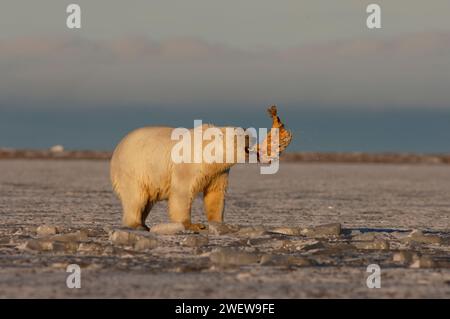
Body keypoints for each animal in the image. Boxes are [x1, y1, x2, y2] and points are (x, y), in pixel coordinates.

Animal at [108, 124, 250, 231]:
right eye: (239, 135)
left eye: (245, 131)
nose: (249, 135)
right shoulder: (187, 164)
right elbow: (182, 192)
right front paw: (194, 225)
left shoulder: (218, 173)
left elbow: (215, 193)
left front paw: (218, 224)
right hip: (134, 169)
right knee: (136, 197)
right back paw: (137, 225)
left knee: (147, 201)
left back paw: (144, 224)